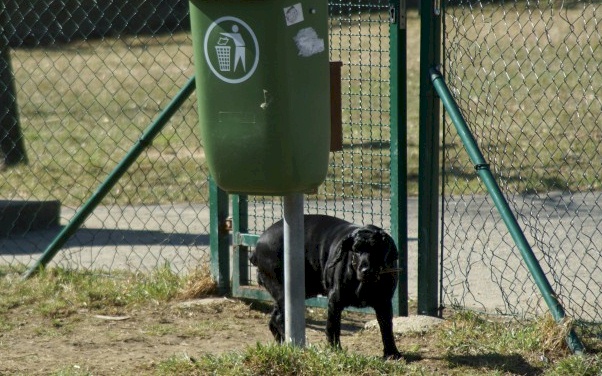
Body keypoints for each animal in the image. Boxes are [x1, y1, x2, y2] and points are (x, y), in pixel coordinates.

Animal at [248, 214, 398, 358]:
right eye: (356, 250)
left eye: (376, 248)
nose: (366, 270)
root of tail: (258, 245)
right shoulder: (335, 302)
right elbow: (333, 327)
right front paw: (335, 350)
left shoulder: (384, 303)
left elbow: (387, 328)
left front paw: (392, 353)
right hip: (285, 292)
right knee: (279, 319)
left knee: (274, 319)